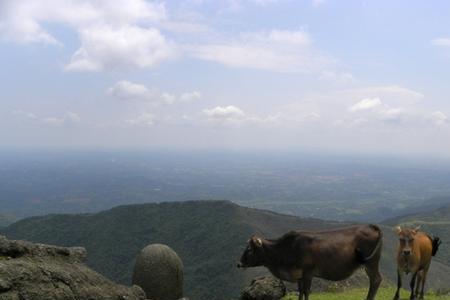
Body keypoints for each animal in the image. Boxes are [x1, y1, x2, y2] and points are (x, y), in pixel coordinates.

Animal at [237, 225, 382, 300]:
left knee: (376, 280)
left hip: (371, 262)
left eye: (249, 249)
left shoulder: (308, 272)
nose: (239, 264)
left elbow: (306, 291)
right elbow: (300, 291)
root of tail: (370, 226)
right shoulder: (299, 275)